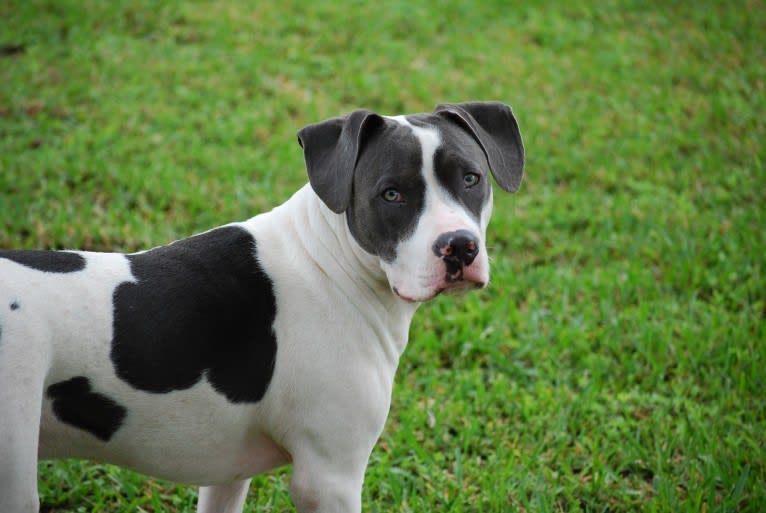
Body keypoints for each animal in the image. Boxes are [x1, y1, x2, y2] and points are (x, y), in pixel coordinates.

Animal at [0, 101, 520, 512]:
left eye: (471, 179)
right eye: (392, 194)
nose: (459, 247)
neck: (329, 264)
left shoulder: (227, 476)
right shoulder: (328, 479)